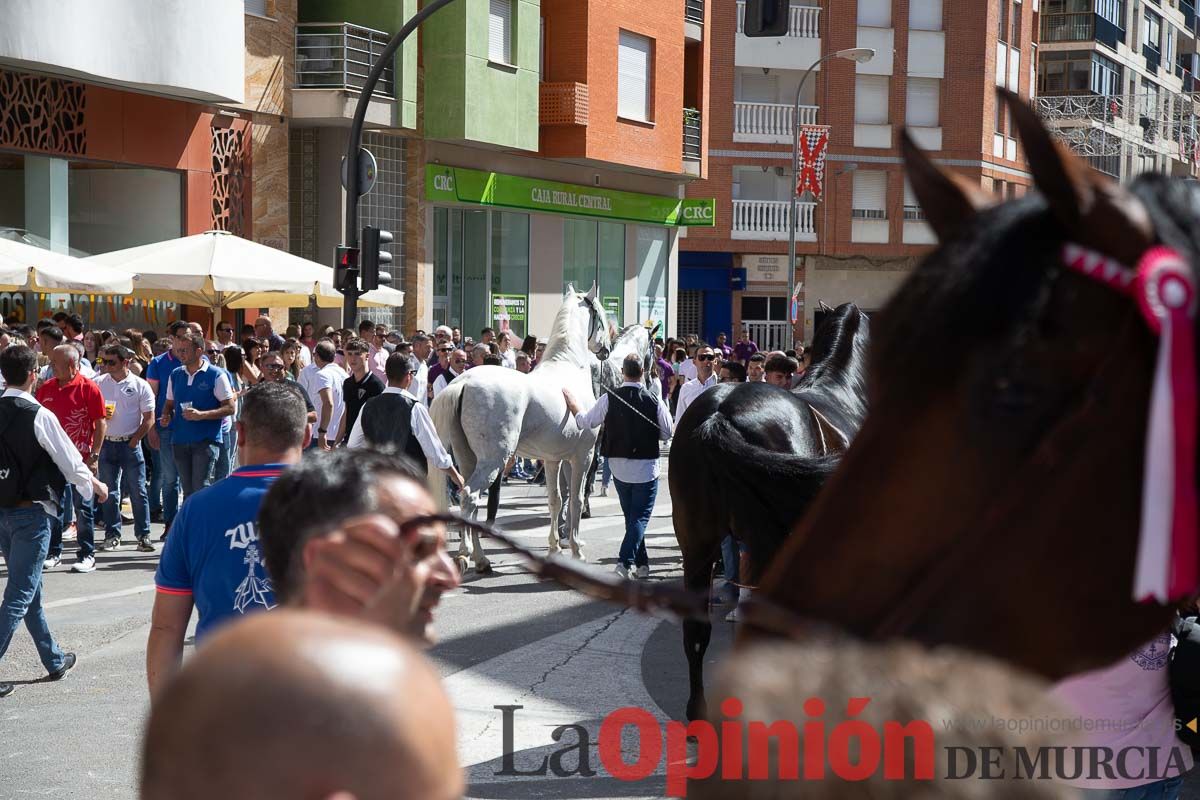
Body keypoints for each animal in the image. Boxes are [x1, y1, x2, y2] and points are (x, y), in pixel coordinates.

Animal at [429, 284, 609, 573]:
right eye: (602, 316)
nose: (606, 349)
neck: (569, 366)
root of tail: (464, 382)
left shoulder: (552, 460)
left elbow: (555, 501)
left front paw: (554, 548)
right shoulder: (582, 456)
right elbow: (576, 500)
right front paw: (576, 550)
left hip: (469, 460)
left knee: (473, 504)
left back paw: (482, 560)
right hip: (493, 462)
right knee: (469, 498)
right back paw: (465, 555)